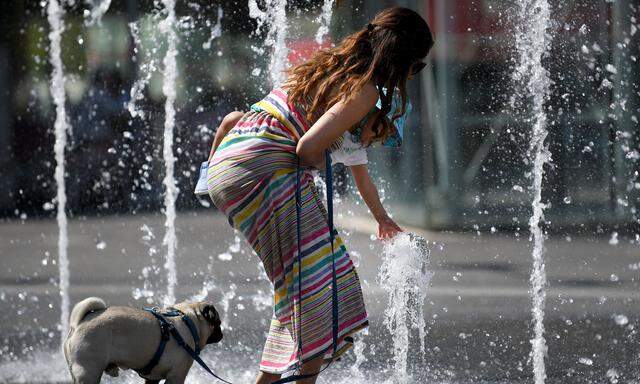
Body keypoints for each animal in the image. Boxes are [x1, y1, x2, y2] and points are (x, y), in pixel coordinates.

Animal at [62, 296, 222, 384]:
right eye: (218, 323)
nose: (221, 334)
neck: (188, 319)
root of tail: (78, 323)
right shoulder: (176, 376)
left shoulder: (152, 379)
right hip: (88, 372)